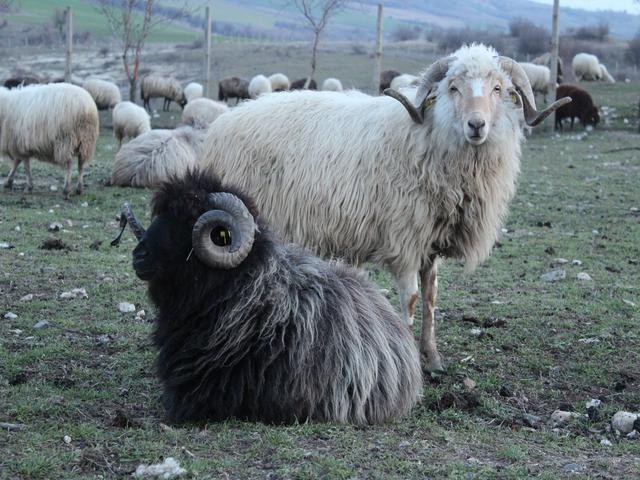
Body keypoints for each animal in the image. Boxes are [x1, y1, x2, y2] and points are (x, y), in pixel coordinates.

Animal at [201, 43, 569, 372]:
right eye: (453, 87)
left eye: (498, 88)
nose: (477, 125)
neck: (427, 138)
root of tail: (221, 125)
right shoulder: (404, 238)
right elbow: (411, 300)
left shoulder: (429, 241)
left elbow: (431, 299)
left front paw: (433, 358)